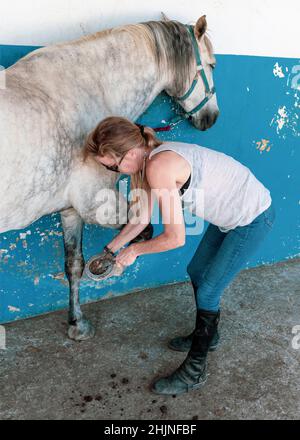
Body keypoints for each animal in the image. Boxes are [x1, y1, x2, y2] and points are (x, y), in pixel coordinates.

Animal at [0, 14, 220, 340]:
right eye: (212, 65)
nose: (211, 118)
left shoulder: (70, 210)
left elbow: (73, 264)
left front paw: (77, 323)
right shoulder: (97, 206)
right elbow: (143, 229)